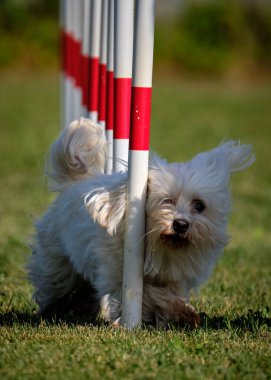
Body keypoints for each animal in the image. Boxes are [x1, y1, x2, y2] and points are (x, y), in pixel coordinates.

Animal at [27, 118, 255, 326]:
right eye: (166, 201)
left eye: (199, 205)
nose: (181, 224)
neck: (163, 250)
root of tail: (75, 183)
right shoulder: (117, 272)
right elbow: (144, 293)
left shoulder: (176, 276)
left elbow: (165, 294)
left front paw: (180, 312)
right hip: (57, 262)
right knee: (55, 283)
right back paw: (52, 309)